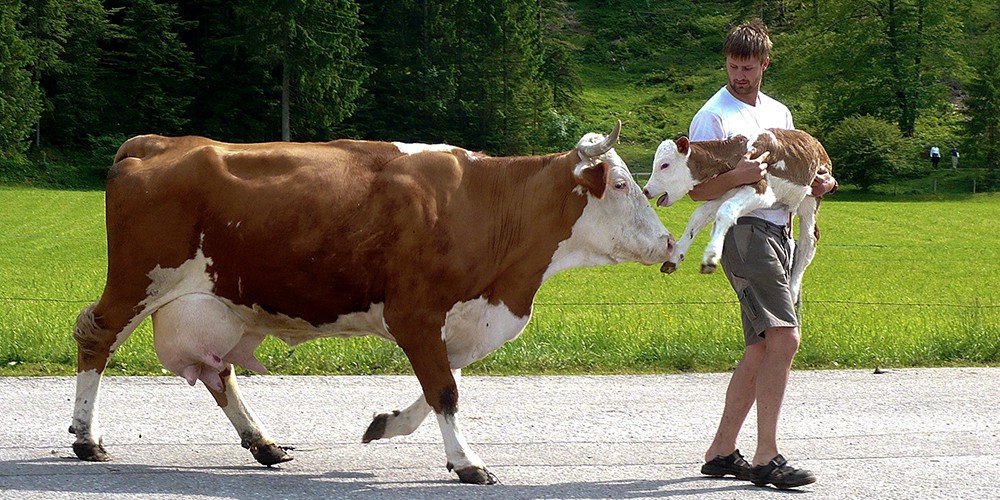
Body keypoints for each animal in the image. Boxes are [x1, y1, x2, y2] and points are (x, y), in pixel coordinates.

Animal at [68, 121, 680, 484]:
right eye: (621, 185)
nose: (671, 244)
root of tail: (157, 143)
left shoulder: (451, 319)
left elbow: (438, 386)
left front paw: (386, 425)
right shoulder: (415, 312)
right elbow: (445, 390)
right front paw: (468, 462)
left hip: (215, 303)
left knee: (219, 373)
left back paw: (263, 443)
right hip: (137, 282)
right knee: (96, 335)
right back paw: (86, 439)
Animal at [644, 127, 832, 302]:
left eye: (665, 165)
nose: (646, 190)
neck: (737, 153)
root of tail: (816, 142)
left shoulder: (762, 190)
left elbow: (726, 210)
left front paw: (711, 256)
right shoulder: (726, 191)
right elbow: (699, 216)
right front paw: (675, 257)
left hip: (811, 198)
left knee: (809, 240)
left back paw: (792, 291)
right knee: (792, 240)